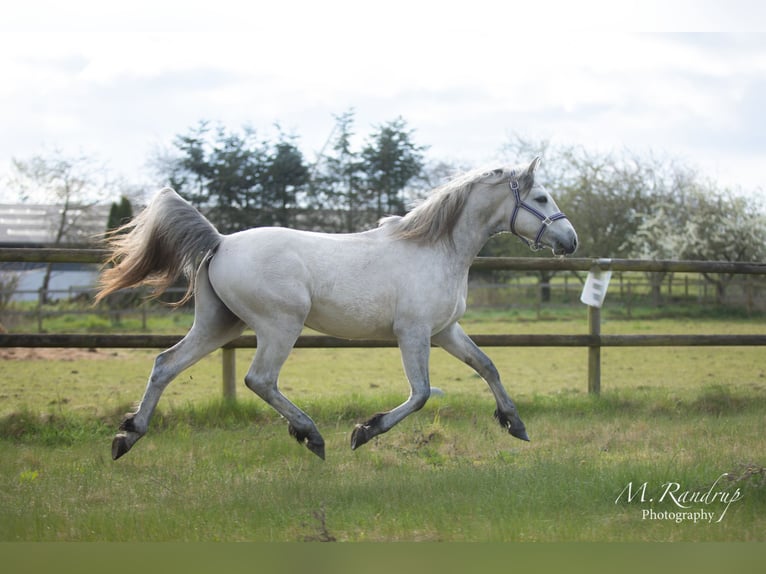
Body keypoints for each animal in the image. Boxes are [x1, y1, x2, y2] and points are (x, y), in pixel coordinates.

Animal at [96, 159, 576, 464]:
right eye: (541, 197)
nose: (570, 241)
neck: (437, 249)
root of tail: (221, 242)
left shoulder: (446, 331)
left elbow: (488, 366)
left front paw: (515, 424)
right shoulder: (414, 333)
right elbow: (421, 393)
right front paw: (364, 431)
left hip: (220, 324)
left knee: (165, 364)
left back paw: (127, 436)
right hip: (279, 325)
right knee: (259, 379)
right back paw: (311, 436)